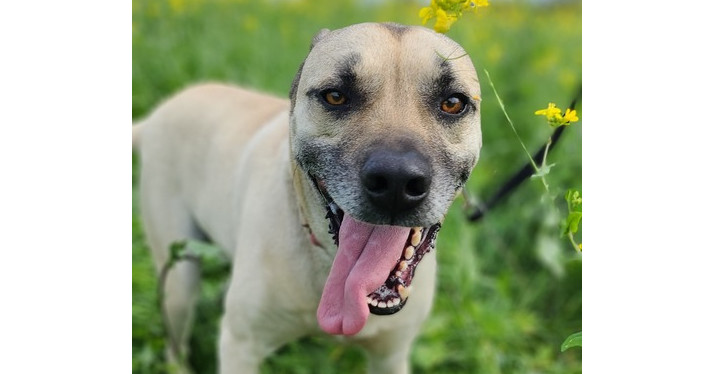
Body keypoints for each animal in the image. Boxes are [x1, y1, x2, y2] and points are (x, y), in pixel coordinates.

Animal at [131, 21, 482, 372]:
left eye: (453, 102)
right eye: (335, 96)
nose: (396, 181)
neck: (327, 261)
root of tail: (159, 113)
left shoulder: (390, 356)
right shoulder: (240, 347)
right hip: (178, 278)